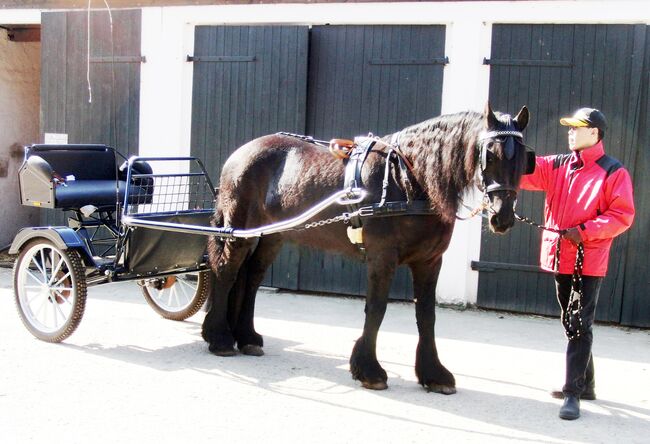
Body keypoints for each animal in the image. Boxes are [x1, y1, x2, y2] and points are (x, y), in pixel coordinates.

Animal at [205, 103, 528, 392]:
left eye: (525, 158)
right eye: (489, 154)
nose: (502, 217)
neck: (407, 181)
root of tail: (240, 153)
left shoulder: (429, 261)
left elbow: (427, 315)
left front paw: (434, 374)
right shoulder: (382, 258)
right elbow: (376, 308)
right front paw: (369, 370)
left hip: (273, 235)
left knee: (252, 278)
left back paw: (247, 337)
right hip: (238, 230)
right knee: (227, 271)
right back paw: (220, 338)